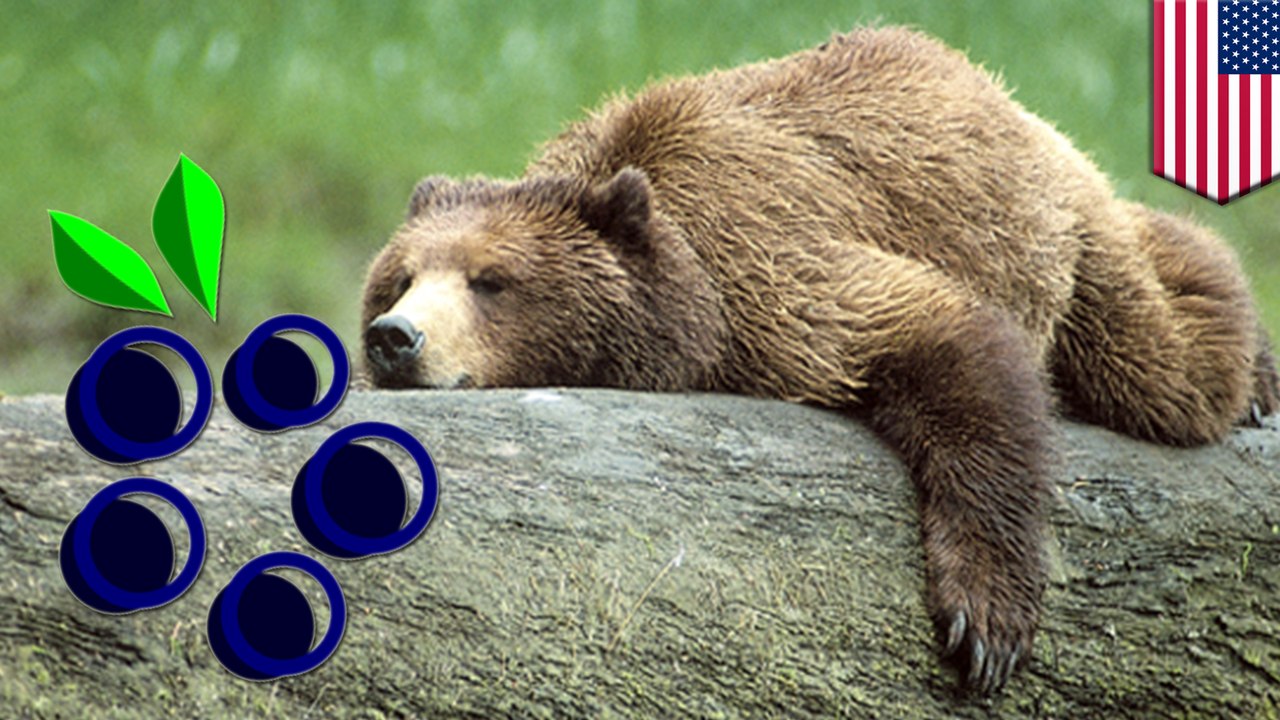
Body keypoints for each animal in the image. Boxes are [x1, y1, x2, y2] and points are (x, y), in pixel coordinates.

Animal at [360, 26, 1280, 694]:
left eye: (491, 280)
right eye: (400, 278)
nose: (395, 338)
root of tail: (993, 88)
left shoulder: (772, 275)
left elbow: (946, 341)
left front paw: (984, 623)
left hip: (1057, 235)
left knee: (1162, 362)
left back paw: (1246, 363)